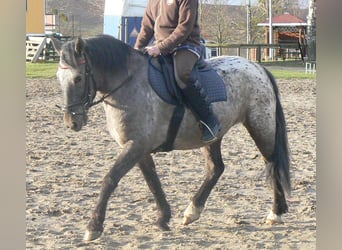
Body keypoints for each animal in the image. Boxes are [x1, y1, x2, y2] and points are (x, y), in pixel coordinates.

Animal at [52, 34, 290, 241]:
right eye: (59, 78)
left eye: (78, 78)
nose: (72, 122)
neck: (128, 83)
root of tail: (257, 67)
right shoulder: (139, 148)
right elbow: (152, 180)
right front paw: (163, 218)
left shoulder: (135, 145)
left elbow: (110, 179)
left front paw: (93, 227)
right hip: (212, 137)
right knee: (216, 169)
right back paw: (192, 211)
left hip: (261, 127)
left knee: (272, 163)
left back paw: (276, 212)